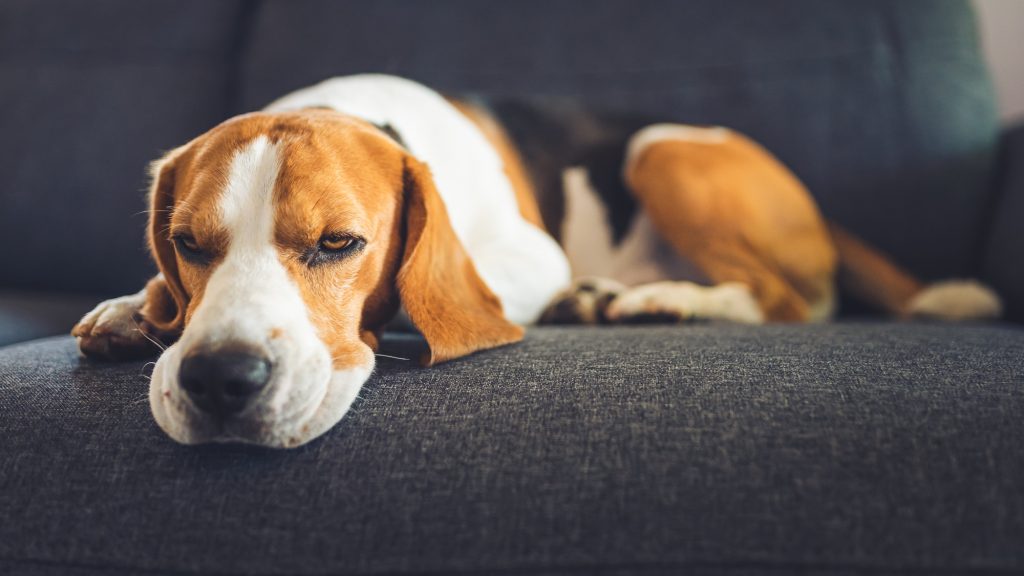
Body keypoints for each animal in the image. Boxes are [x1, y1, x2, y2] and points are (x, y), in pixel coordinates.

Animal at [72, 73, 999, 446]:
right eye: (189, 245)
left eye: (339, 244)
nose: (218, 379)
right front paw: (136, 309)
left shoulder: (529, 256)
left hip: (661, 153)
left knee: (795, 301)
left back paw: (663, 299)